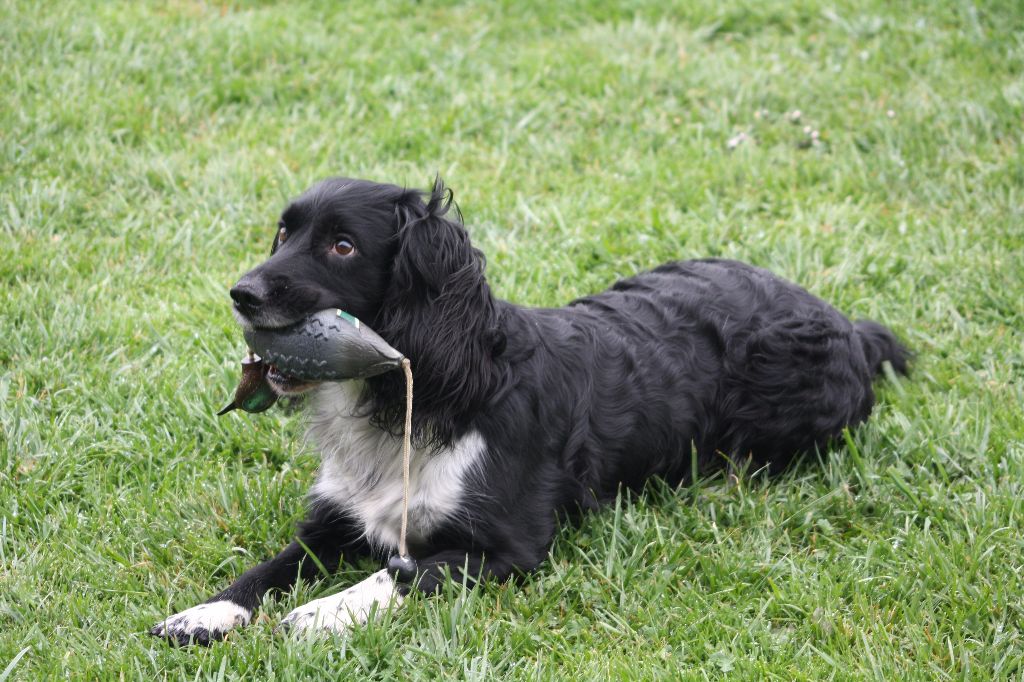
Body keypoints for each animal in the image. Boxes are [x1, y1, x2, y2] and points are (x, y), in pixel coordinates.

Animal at [149, 175, 905, 643]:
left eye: (342, 245)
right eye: (282, 235)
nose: (241, 294)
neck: (428, 395)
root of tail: (848, 326)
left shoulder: (509, 548)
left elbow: (400, 571)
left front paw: (324, 613)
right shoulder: (336, 519)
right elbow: (269, 568)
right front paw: (203, 612)